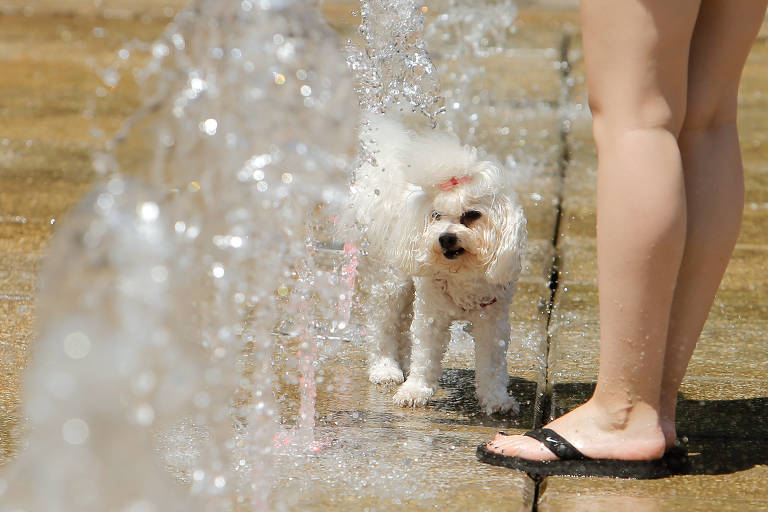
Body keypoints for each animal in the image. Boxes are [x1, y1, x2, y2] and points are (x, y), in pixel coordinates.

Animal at [350, 114, 524, 414]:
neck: (462, 274)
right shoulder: (431, 314)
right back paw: (385, 368)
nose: (446, 238)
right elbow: (425, 354)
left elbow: (492, 364)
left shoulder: (493, 320)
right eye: (436, 215)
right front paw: (415, 390)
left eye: (472, 215)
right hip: (392, 282)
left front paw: (496, 399)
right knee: (382, 325)